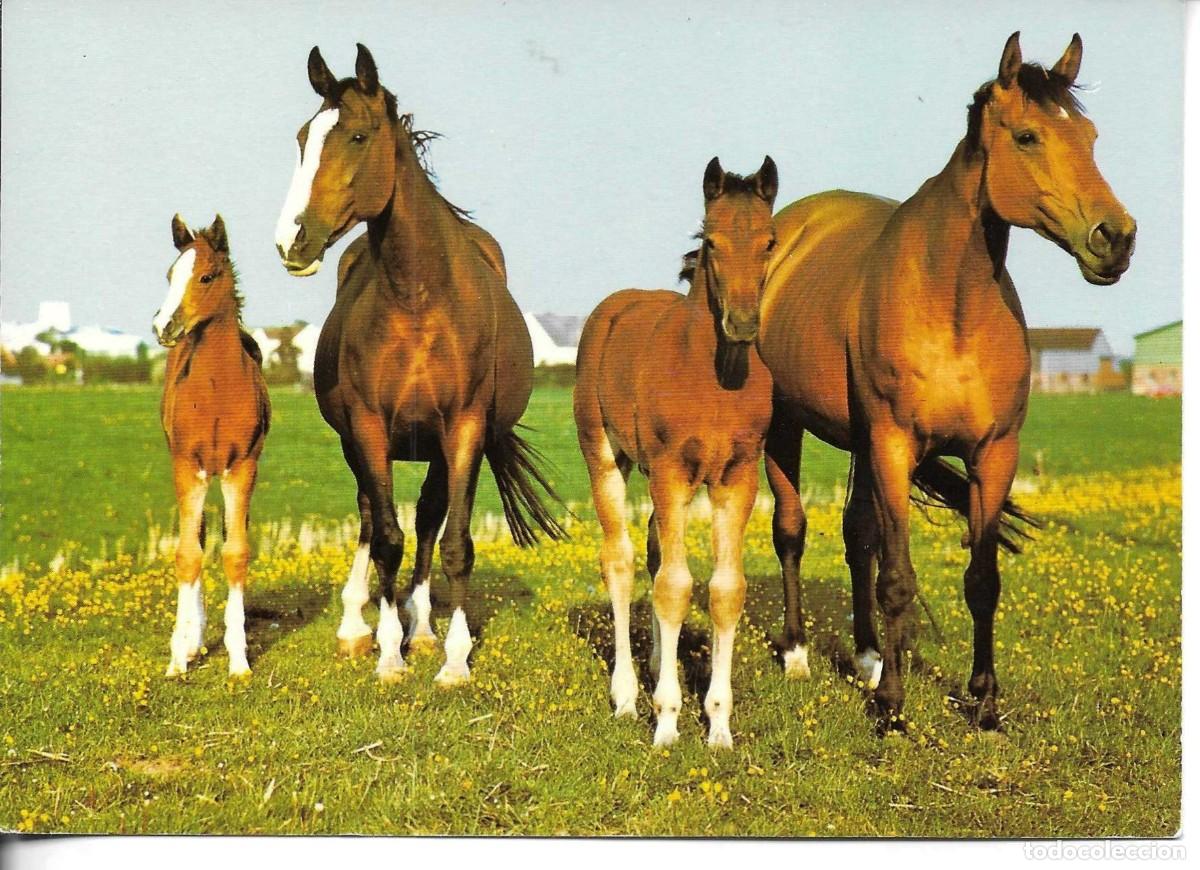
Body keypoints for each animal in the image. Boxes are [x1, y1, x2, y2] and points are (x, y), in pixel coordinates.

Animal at [154, 214, 271, 678]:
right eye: (170, 275)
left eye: (206, 276)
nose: (162, 327)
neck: (218, 389)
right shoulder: (188, 466)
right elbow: (188, 554)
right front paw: (177, 657)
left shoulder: (242, 467)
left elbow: (235, 553)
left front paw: (239, 660)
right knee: (198, 539)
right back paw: (191, 641)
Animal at [273, 44, 564, 685]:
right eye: (303, 137)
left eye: (357, 135)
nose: (291, 242)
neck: (418, 299)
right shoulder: (368, 427)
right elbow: (386, 536)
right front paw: (387, 654)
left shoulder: (464, 428)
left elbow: (454, 540)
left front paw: (453, 659)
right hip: (361, 442)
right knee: (370, 516)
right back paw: (358, 626)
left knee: (431, 517)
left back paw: (426, 629)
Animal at [575, 156, 778, 748]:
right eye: (711, 241)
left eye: (770, 241)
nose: (742, 323)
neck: (716, 379)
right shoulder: (669, 472)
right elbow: (673, 587)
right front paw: (666, 721)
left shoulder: (737, 479)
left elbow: (724, 590)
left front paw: (719, 726)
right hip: (606, 458)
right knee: (620, 561)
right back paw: (625, 696)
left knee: (652, 553)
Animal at [758, 32, 1135, 729]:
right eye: (1027, 137)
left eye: (1091, 136)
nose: (1116, 238)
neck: (951, 304)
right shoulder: (892, 444)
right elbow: (898, 579)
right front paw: (891, 706)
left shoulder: (994, 454)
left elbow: (981, 580)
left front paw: (984, 702)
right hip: (785, 426)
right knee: (791, 530)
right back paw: (797, 653)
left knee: (857, 537)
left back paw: (866, 654)